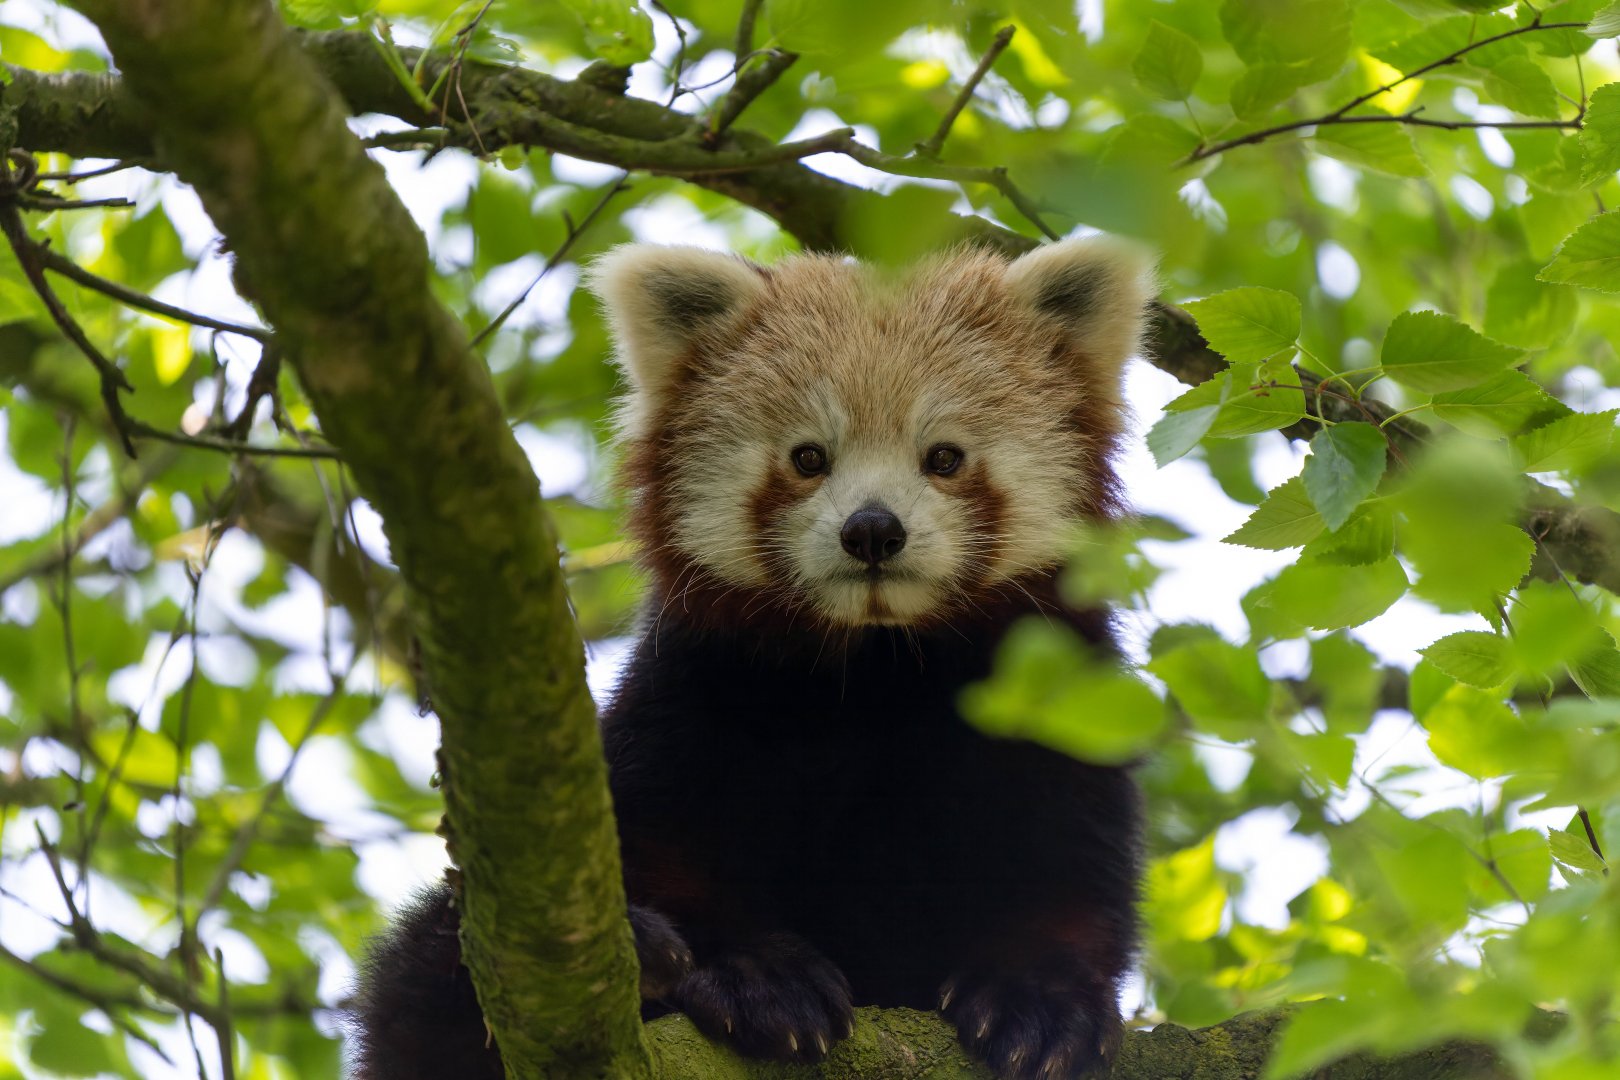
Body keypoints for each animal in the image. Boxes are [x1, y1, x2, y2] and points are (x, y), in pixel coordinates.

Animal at [349, 235, 1157, 1080]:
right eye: (808, 457)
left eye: (944, 457)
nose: (873, 529)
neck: (877, 667)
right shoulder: (690, 700)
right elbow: (656, 849)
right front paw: (756, 976)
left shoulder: (1054, 706)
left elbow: (1068, 868)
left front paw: (1040, 1000)